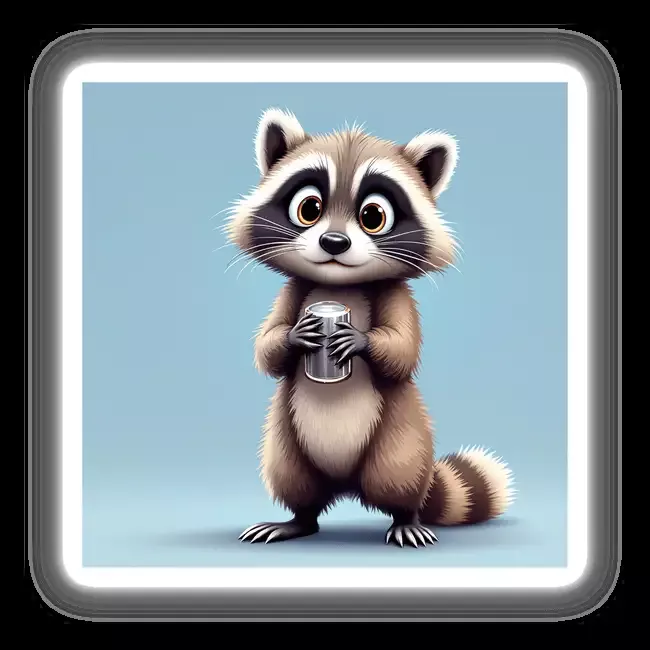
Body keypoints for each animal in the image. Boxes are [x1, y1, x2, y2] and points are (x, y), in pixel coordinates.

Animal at [226, 108, 515, 547]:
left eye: (373, 217)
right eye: (309, 208)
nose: (333, 242)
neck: (338, 285)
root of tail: (345, 485)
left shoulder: (395, 295)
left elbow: (403, 350)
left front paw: (360, 340)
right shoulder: (295, 292)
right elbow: (267, 346)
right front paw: (294, 336)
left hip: (402, 432)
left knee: (398, 472)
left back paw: (405, 517)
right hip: (285, 438)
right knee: (293, 478)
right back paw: (298, 519)